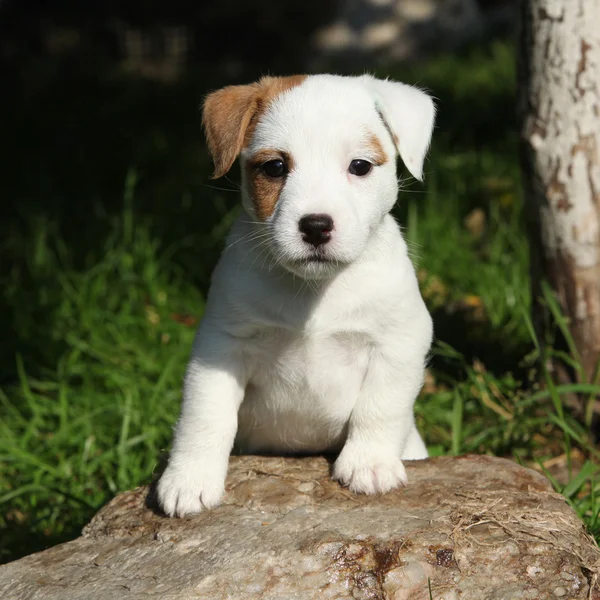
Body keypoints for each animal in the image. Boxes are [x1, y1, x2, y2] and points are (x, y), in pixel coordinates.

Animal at [157, 74, 434, 516]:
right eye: (275, 167)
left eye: (360, 166)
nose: (316, 225)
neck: (314, 290)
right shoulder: (221, 345)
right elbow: (205, 413)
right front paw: (189, 477)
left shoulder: (400, 339)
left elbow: (380, 405)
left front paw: (369, 463)